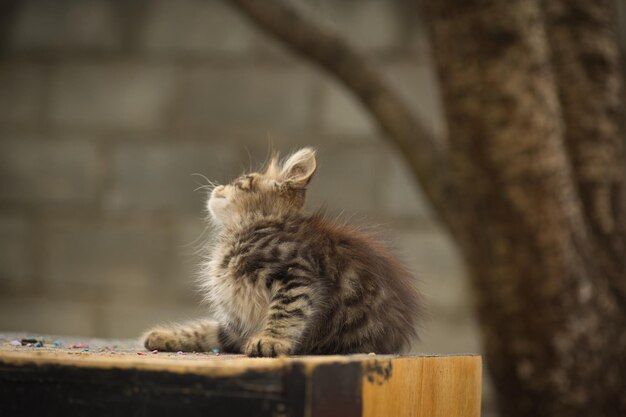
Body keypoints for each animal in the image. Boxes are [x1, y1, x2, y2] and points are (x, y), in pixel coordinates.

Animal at [143, 148, 420, 356]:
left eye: (242, 182)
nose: (218, 187)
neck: (246, 229)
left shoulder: (296, 272)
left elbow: (285, 312)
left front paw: (270, 340)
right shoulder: (235, 328)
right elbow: (203, 330)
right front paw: (163, 335)